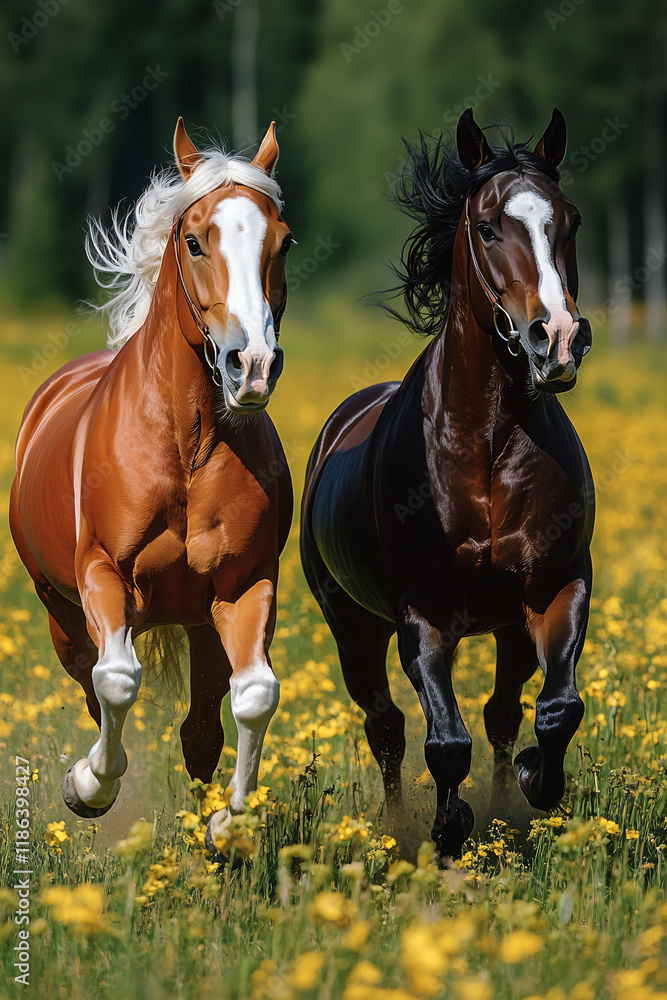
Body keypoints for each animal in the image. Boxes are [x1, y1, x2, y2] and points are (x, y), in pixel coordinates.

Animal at [10, 119, 294, 860]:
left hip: (198, 623)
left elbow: (254, 696)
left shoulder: (244, 584)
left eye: (283, 242)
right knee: (91, 679)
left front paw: (228, 825)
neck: (185, 446)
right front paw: (87, 786)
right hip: (60, 610)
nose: (253, 366)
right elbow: (116, 681)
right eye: (194, 240)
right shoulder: (102, 576)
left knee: (200, 728)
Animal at [301, 108, 594, 864]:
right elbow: (444, 743)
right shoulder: (421, 617)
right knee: (386, 728)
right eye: (488, 227)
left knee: (502, 712)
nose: (557, 339)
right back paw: (401, 827)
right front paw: (447, 829)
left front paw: (533, 784)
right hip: (353, 628)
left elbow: (555, 710)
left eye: (571, 220)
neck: (484, 448)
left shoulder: (556, 590)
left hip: (505, 626)